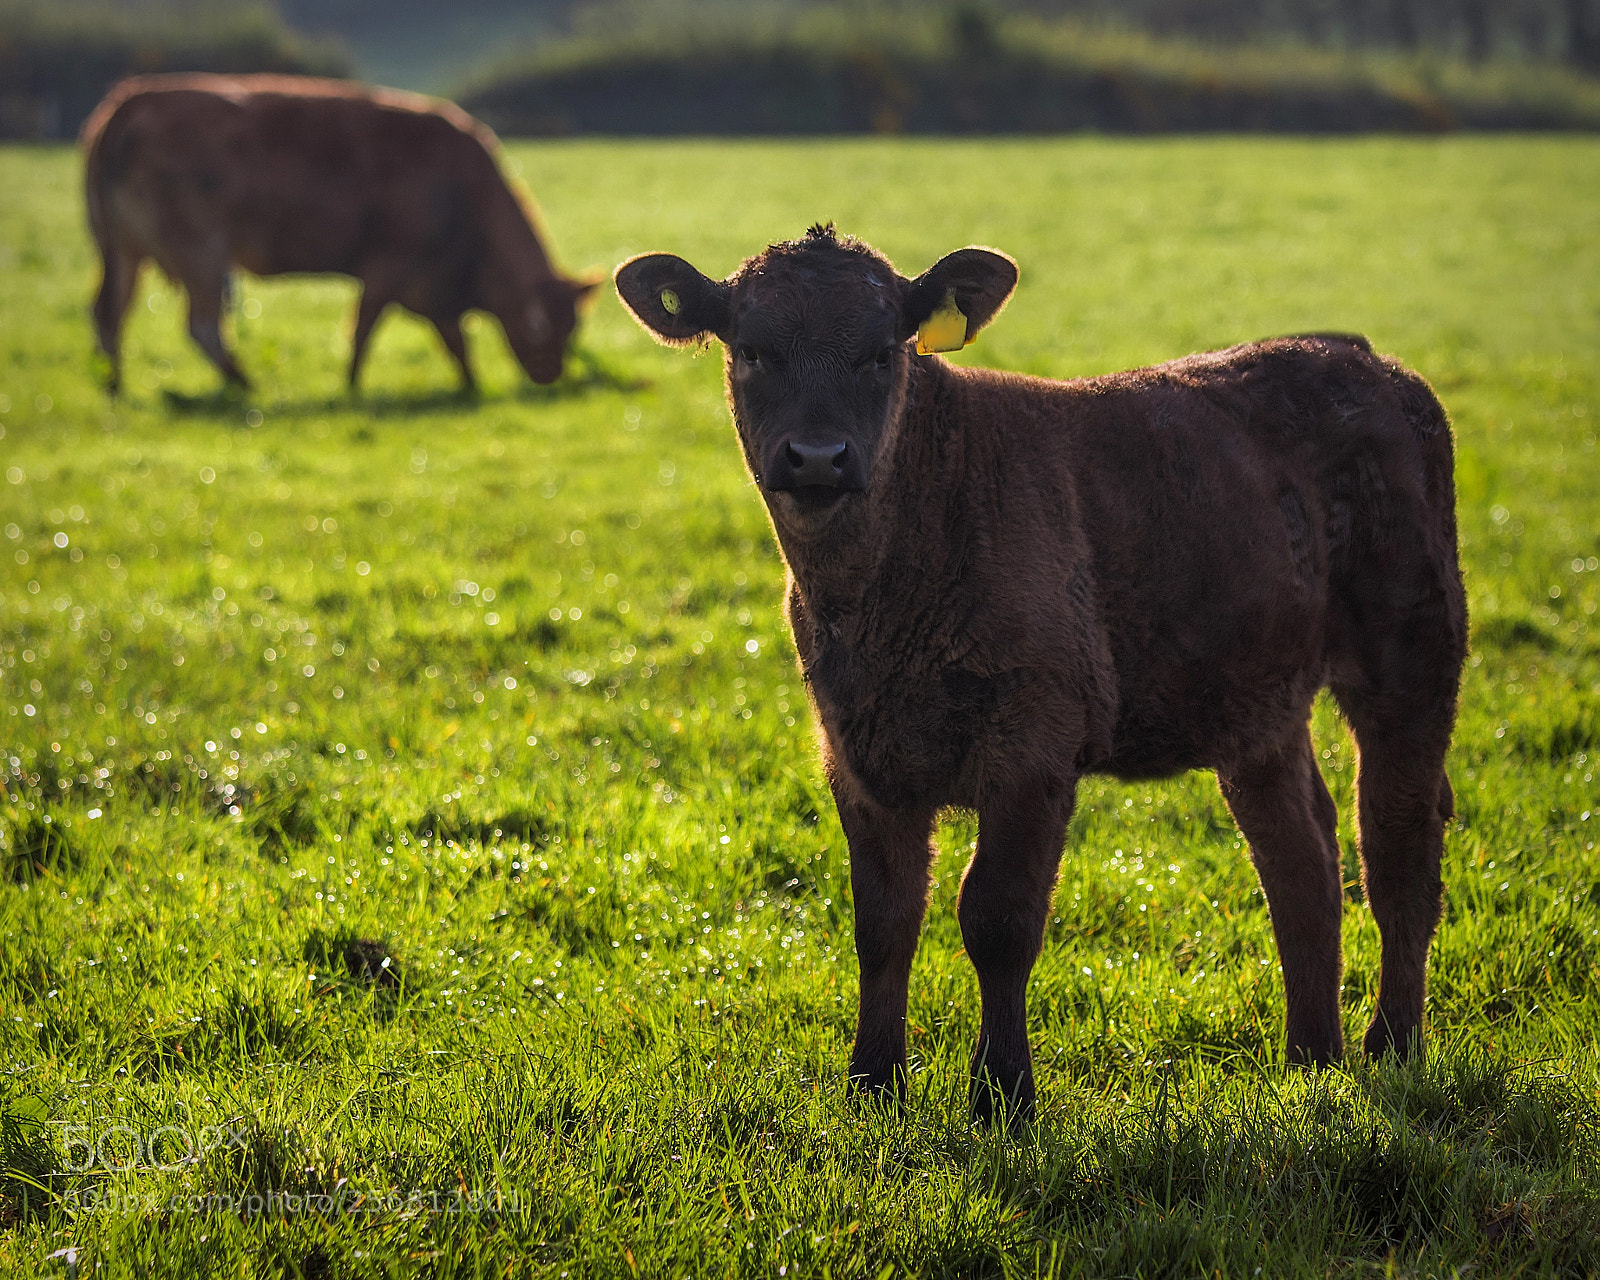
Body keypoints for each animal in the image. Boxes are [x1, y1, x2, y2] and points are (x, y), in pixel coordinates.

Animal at [81, 74, 597, 393]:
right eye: (538, 323)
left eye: (572, 327)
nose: (550, 374)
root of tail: (136, 95)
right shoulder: (388, 267)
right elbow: (364, 331)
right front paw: (350, 387)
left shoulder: (430, 287)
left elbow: (455, 342)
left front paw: (471, 386)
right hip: (199, 252)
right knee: (202, 325)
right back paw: (245, 384)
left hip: (122, 250)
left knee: (109, 313)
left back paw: (114, 386)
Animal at [615, 224, 1467, 1123]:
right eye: (751, 349)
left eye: (883, 352)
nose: (817, 458)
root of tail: (1365, 360)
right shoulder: (856, 755)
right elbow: (883, 922)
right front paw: (874, 1085)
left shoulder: (1033, 743)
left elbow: (997, 919)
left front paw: (1002, 1095)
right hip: (1255, 699)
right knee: (1299, 856)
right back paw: (1310, 1060)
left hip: (1412, 650)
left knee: (1397, 843)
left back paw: (1392, 1046)